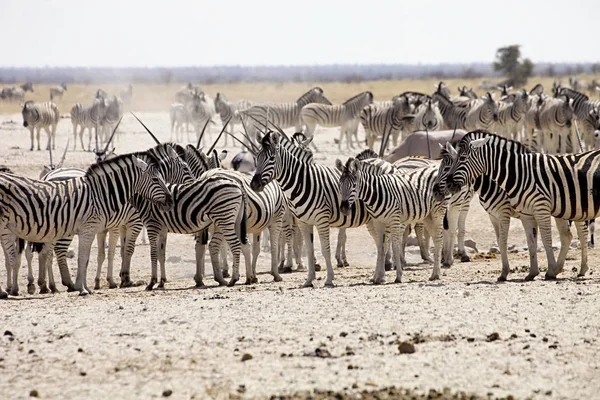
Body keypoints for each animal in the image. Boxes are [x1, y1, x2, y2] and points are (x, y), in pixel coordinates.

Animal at [0, 150, 173, 296]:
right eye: (156, 179)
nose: (171, 200)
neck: (101, 194)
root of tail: (47, 176)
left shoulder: (99, 227)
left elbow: (95, 256)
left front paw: (92, 285)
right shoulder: (107, 226)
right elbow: (92, 256)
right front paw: (84, 288)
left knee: (37, 253)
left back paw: (39, 287)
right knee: (51, 252)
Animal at [440, 130, 596, 280]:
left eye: (448, 166)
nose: (444, 188)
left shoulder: (504, 212)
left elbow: (503, 241)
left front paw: (505, 273)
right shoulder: (493, 216)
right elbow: (501, 241)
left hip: (576, 208)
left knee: (582, 233)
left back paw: (582, 268)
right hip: (561, 211)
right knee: (567, 236)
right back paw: (562, 269)